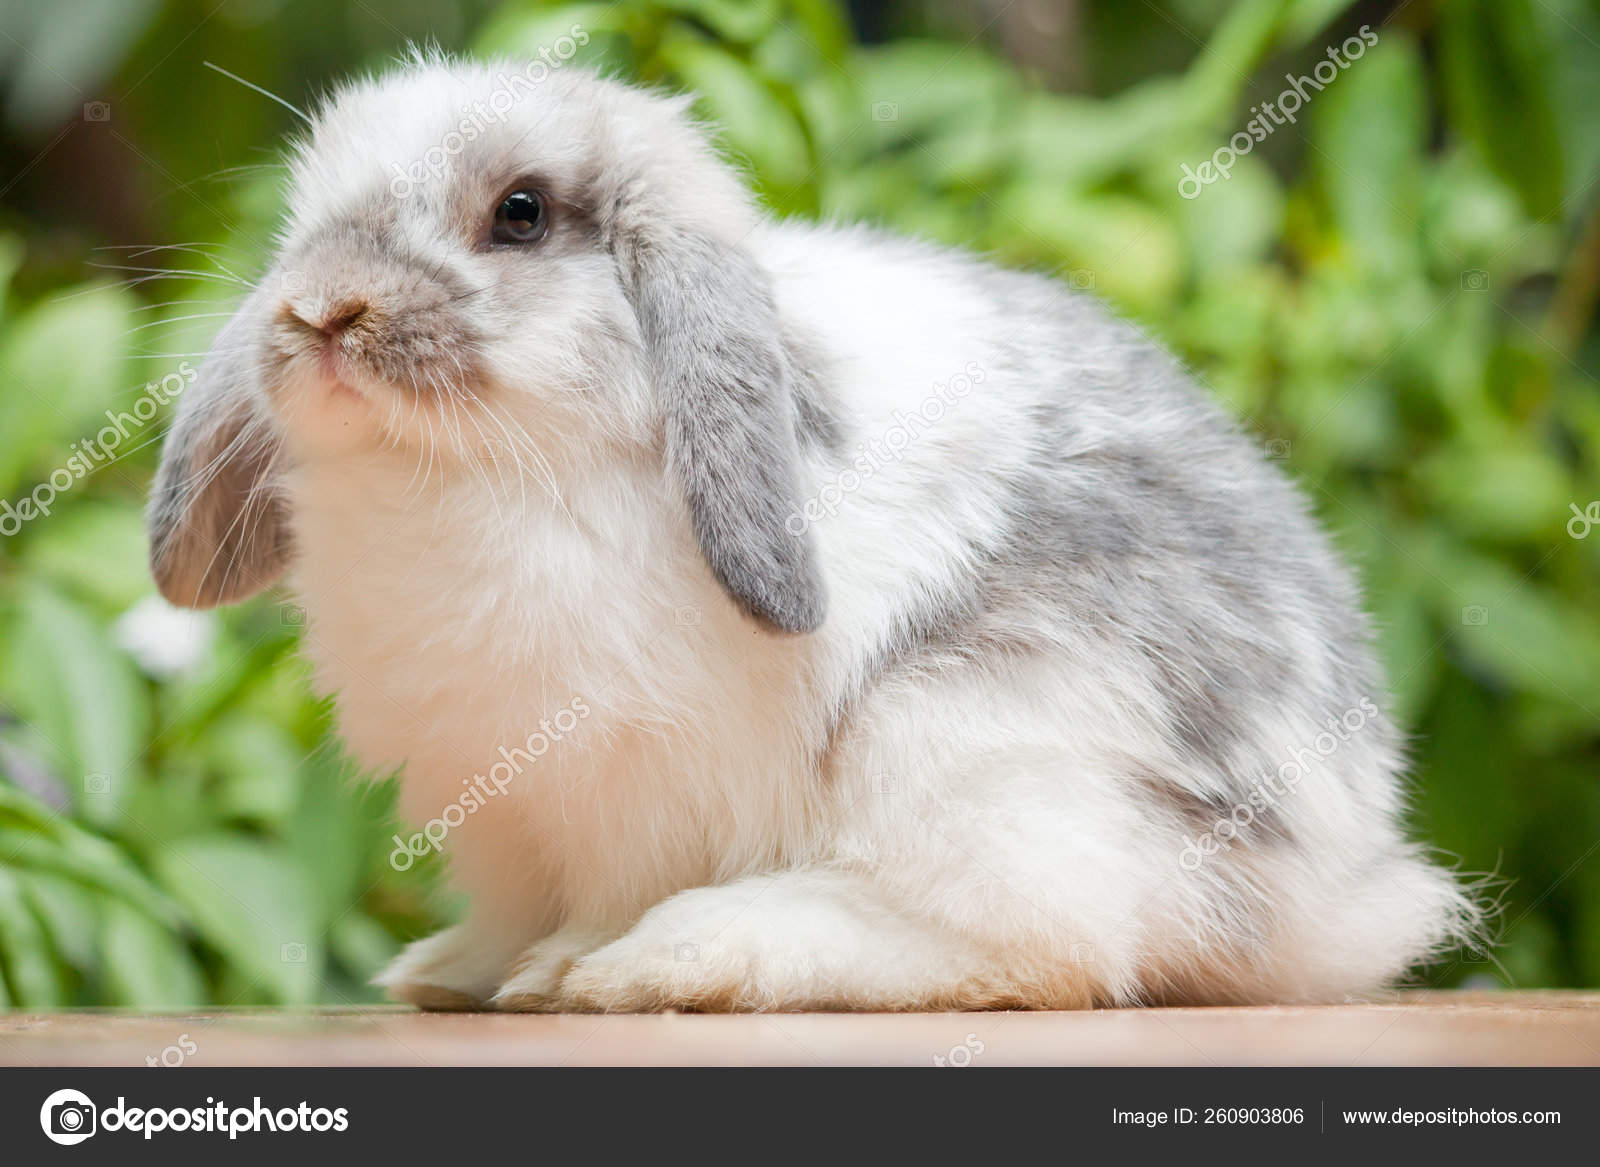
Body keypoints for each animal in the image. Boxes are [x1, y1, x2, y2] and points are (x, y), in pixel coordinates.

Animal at [147, 52, 1472, 1011]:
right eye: (304, 212)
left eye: (518, 215)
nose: (321, 309)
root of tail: (1339, 872)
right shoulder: (511, 815)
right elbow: (515, 906)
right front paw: (459, 970)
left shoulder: (627, 783)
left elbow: (599, 897)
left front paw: (560, 972)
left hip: (965, 730)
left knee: (1046, 944)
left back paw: (671, 961)